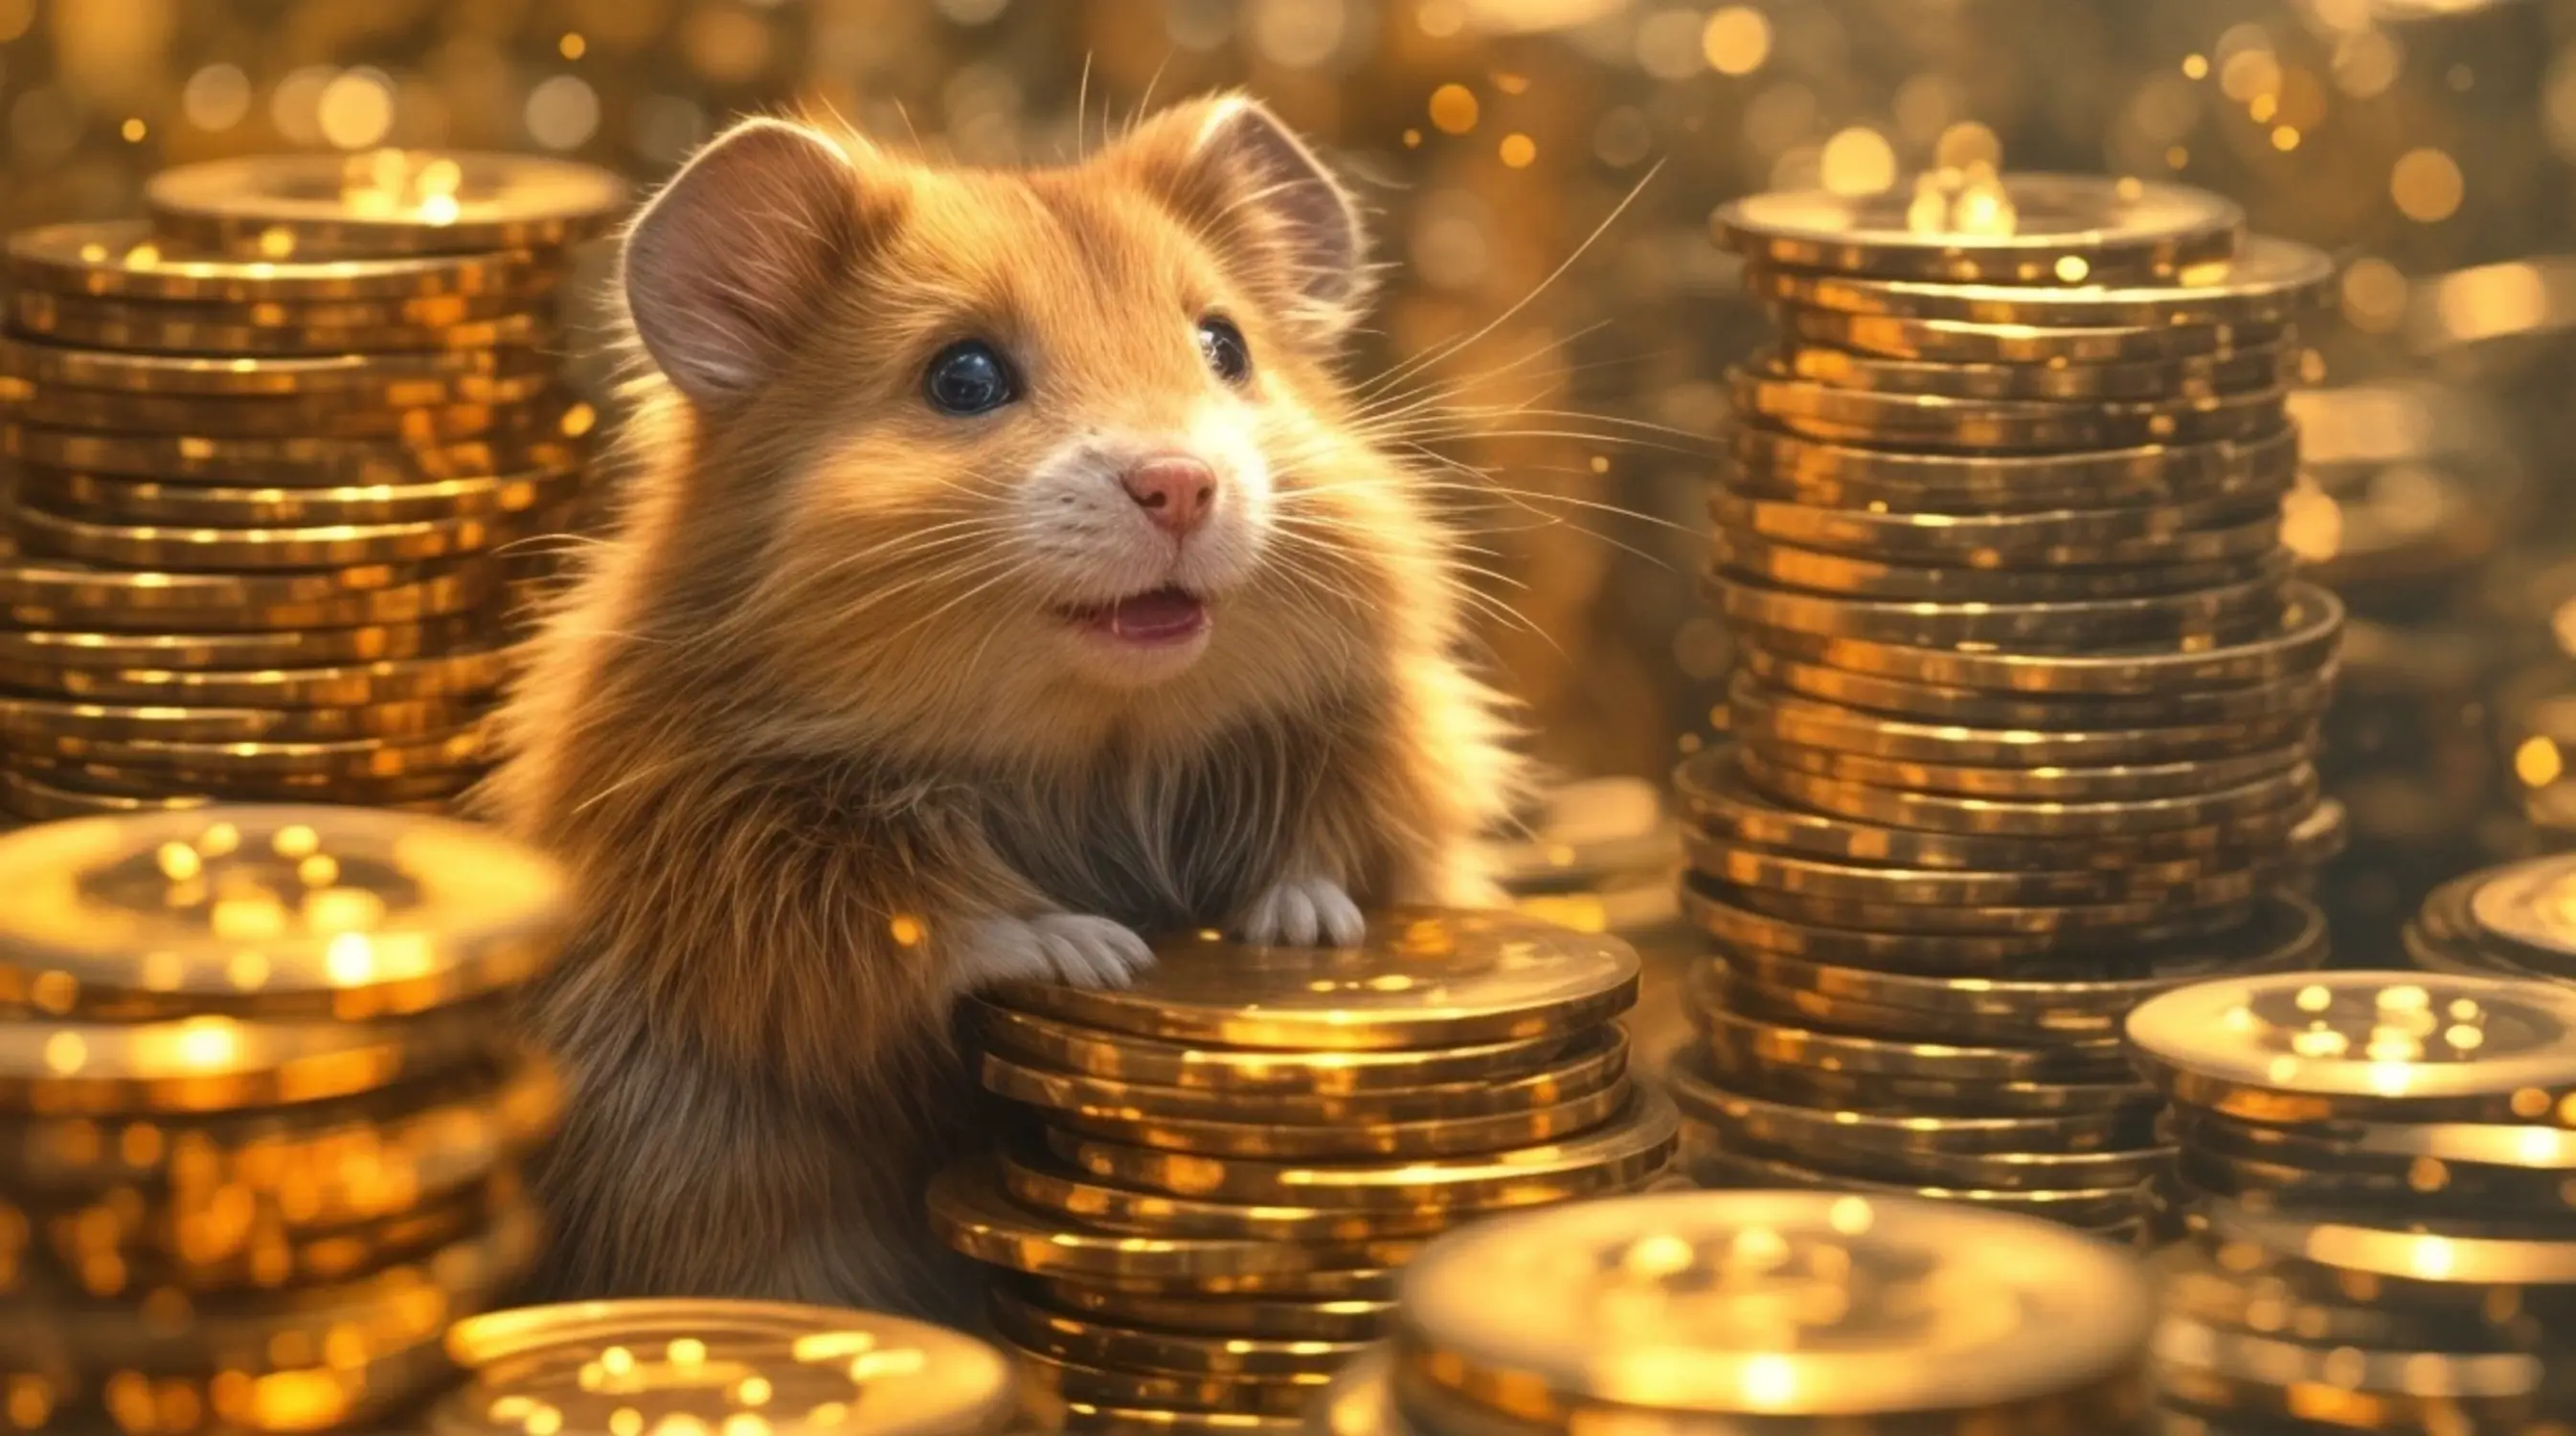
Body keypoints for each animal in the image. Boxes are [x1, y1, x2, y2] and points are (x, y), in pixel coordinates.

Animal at [485, 94, 1528, 1322]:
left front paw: (1301, 930)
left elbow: (1336, 843)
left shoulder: (1383, 741)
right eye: (964, 377)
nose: (1181, 485)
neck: (1094, 742)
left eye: (1224, 347)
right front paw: (1101, 954)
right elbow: (920, 927)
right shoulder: (722, 845)